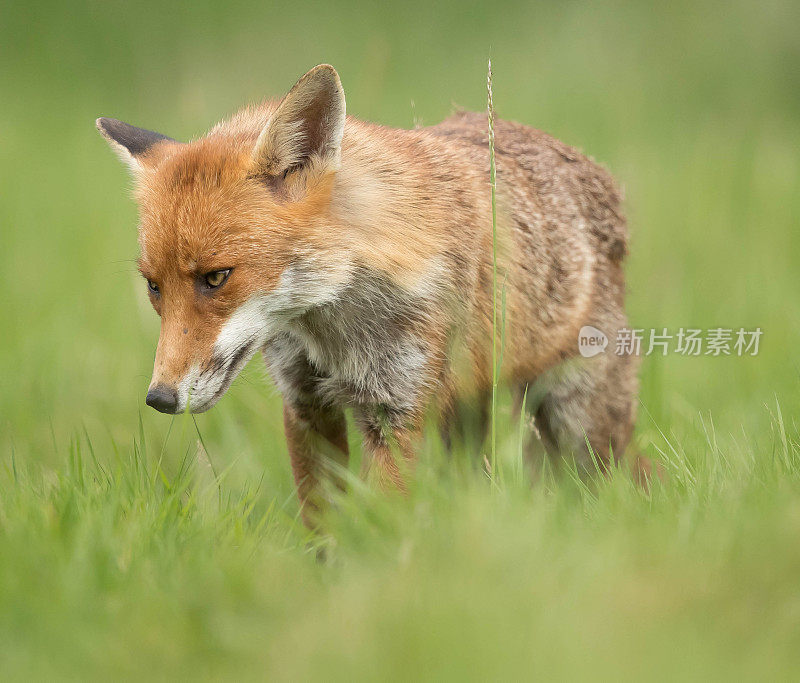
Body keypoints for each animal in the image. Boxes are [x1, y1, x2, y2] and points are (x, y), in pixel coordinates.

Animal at [98, 64, 636, 516]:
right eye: (153, 287)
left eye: (216, 277)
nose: (160, 398)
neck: (331, 325)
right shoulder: (306, 406)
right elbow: (325, 525)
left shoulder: (398, 411)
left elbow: (379, 523)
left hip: (575, 422)